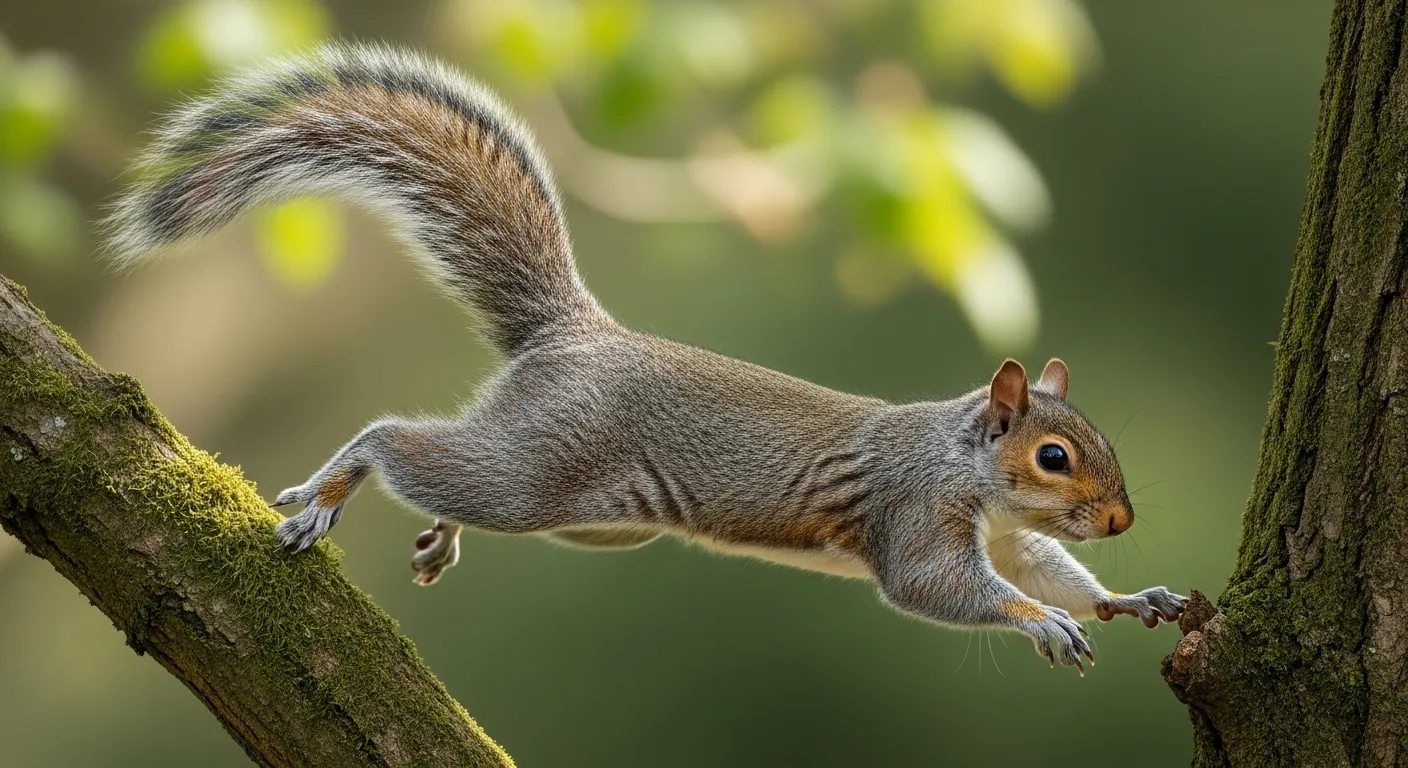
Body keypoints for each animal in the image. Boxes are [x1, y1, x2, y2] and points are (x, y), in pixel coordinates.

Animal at [106, 44, 1185, 673]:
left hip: (595, 515)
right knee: (396, 442)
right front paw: (1037, 623)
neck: (967, 465)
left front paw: (1127, 595)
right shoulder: (915, 513)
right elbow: (940, 588)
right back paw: (328, 493)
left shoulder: (1009, 535)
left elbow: (1050, 568)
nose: (1123, 520)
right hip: (539, 471)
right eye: (1053, 456)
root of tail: (578, 334)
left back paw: (439, 534)